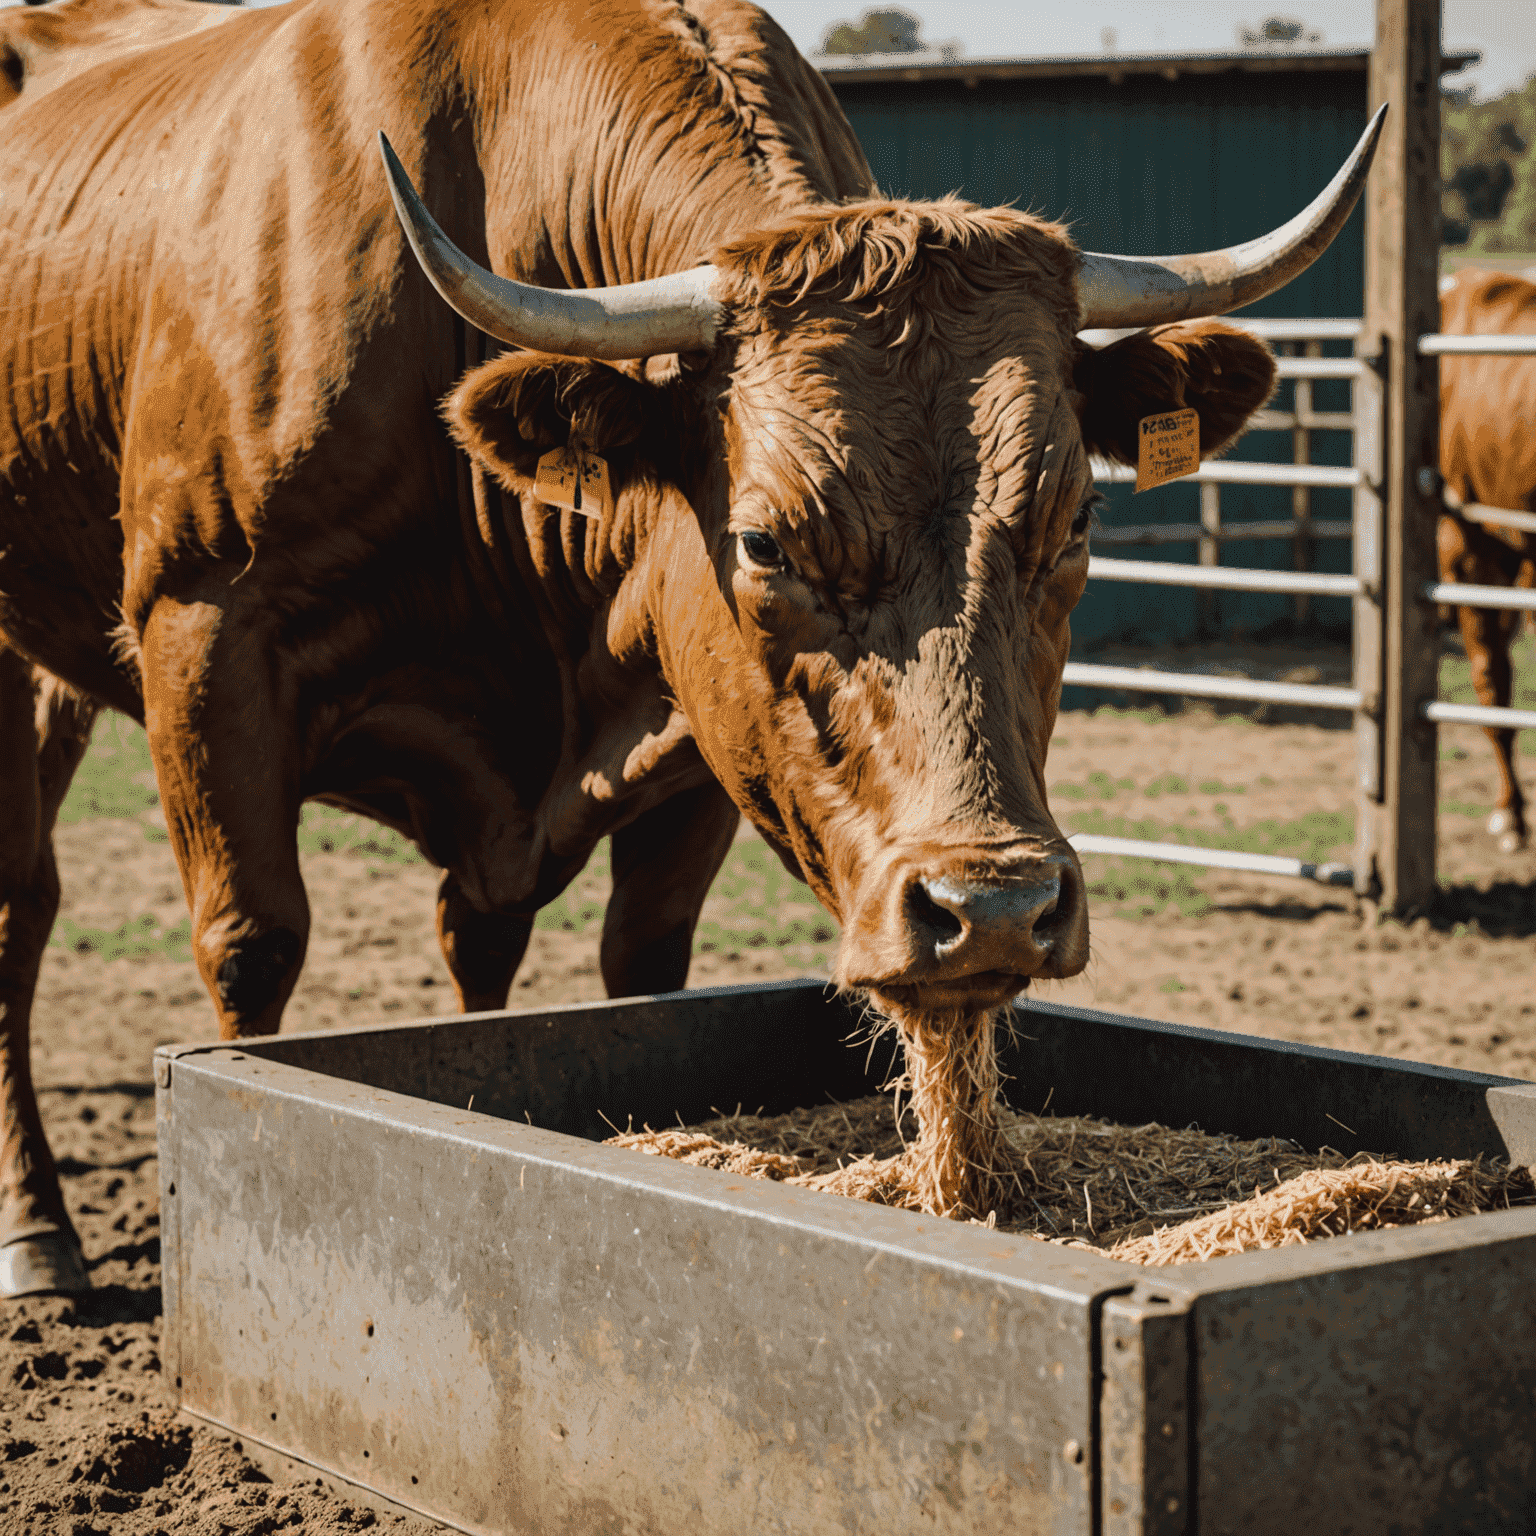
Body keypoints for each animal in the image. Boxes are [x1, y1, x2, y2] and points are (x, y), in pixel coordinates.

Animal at [0, 0, 1382, 1296]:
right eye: (764, 540)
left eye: (1077, 518)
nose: (991, 910)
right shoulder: (206, 639)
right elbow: (255, 943)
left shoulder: (700, 730)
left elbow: (630, 963)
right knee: (24, 907)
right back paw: (39, 1237)